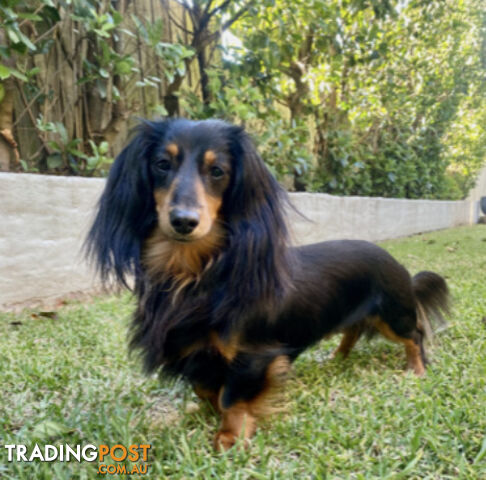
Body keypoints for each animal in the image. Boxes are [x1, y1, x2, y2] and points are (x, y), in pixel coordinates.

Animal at [85, 118, 450, 452]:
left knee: (415, 335)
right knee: (354, 330)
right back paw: (337, 357)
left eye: (217, 171)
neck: (193, 274)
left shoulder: (253, 355)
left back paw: (416, 368)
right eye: (162, 164)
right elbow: (206, 389)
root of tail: (398, 266)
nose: (184, 221)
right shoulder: (196, 352)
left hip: (393, 315)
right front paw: (208, 412)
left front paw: (231, 436)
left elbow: (232, 397)